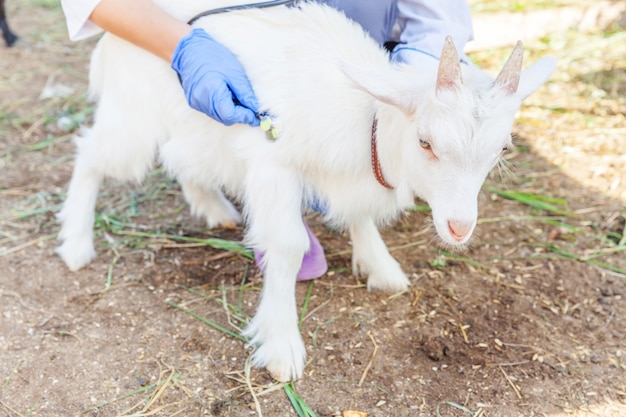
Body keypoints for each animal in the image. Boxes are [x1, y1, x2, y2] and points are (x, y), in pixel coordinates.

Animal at [57, 0, 556, 380]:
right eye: (425, 142)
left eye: (502, 148)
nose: (458, 227)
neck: (368, 118)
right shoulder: (274, 165)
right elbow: (288, 245)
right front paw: (282, 348)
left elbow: (359, 214)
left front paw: (381, 267)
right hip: (134, 118)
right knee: (91, 154)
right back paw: (77, 242)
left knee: (183, 157)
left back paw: (211, 205)